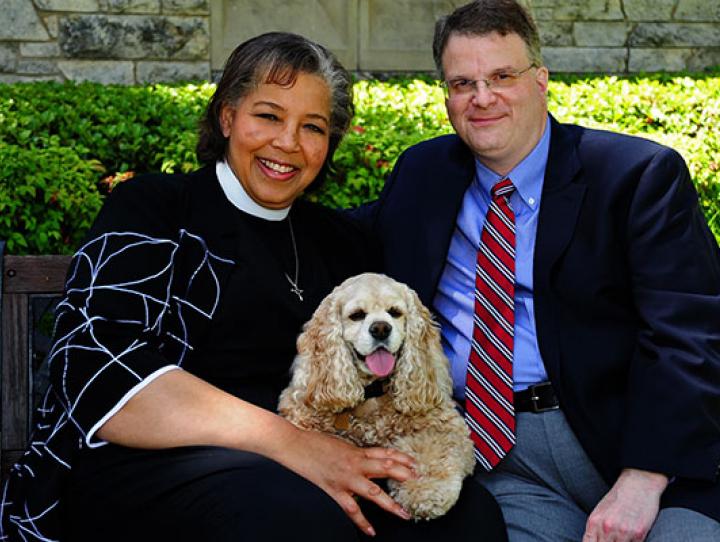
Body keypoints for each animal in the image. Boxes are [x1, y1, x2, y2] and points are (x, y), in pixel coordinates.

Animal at [278, 274, 476, 520]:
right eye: (357, 315)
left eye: (395, 312)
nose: (381, 328)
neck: (372, 391)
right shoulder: (301, 416)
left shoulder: (444, 423)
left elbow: (436, 447)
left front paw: (426, 492)